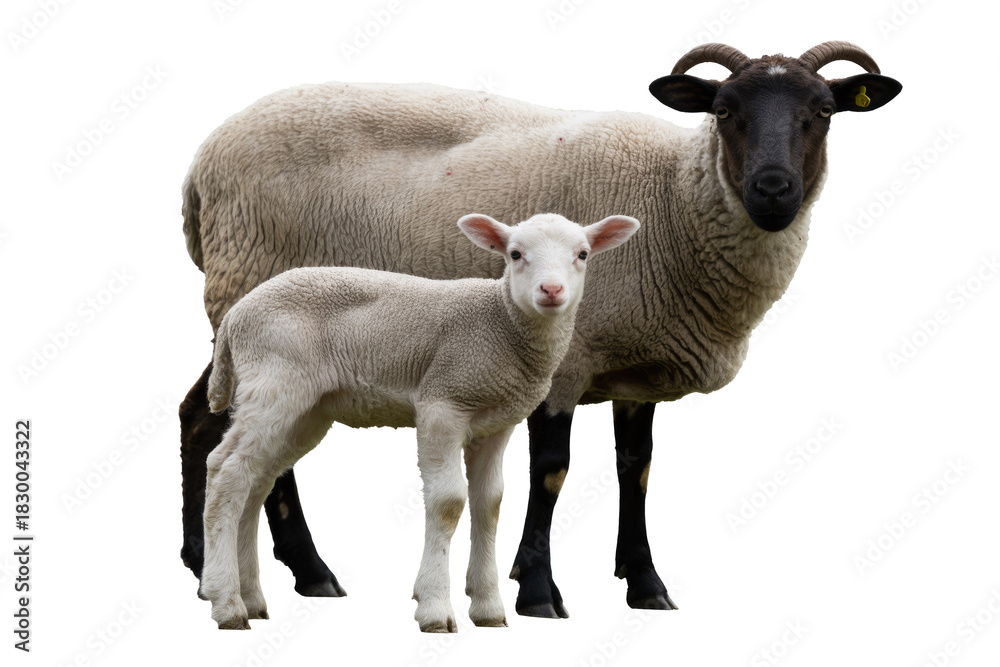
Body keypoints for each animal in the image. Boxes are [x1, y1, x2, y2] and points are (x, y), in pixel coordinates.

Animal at [199, 212, 640, 630]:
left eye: (582, 254)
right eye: (515, 254)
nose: (551, 291)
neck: (500, 324)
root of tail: (235, 316)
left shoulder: (497, 422)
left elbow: (490, 503)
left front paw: (488, 607)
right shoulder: (443, 402)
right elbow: (448, 502)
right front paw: (435, 608)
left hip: (306, 411)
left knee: (255, 483)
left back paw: (251, 598)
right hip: (275, 382)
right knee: (225, 471)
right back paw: (226, 603)